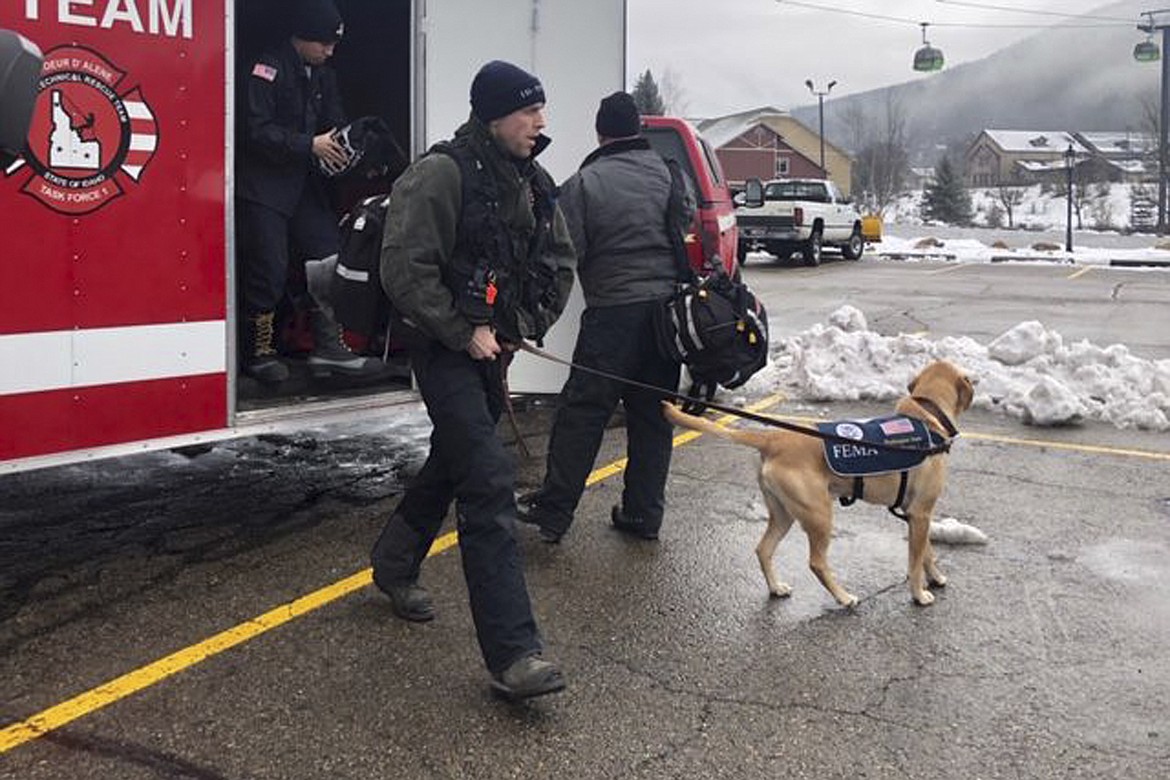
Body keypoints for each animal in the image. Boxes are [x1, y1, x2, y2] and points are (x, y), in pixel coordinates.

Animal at [664, 360, 973, 608]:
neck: (927, 413)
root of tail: (773, 438)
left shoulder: (916, 514)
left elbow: (926, 553)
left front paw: (936, 577)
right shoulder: (920, 513)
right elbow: (915, 561)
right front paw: (919, 594)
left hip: (783, 514)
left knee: (763, 549)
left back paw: (776, 588)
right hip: (819, 514)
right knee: (816, 563)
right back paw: (844, 597)